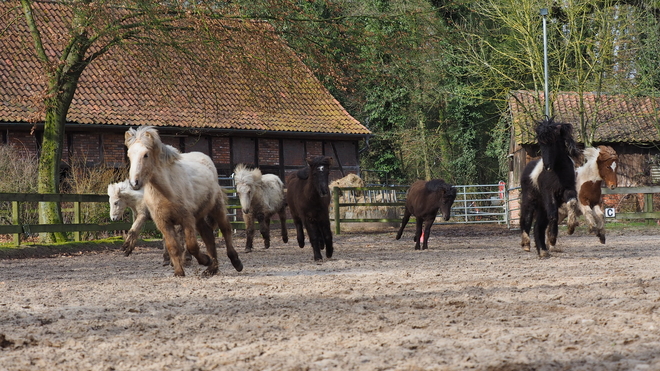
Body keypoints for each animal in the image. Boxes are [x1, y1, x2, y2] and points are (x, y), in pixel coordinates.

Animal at [124, 126, 242, 278]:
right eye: (129, 155)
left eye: (146, 155)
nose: (134, 183)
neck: (166, 191)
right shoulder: (164, 223)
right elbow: (173, 247)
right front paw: (179, 272)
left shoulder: (187, 219)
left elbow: (192, 245)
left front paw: (205, 260)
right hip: (199, 217)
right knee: (208, 235)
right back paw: (212, 269)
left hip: (216, 208)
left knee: (226, 230)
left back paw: (235, 262)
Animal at [520, 117, 580, 258]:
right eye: (541, 144)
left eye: (553, 142)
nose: (547, 166)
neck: (558, 171)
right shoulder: (549, 193)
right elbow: (553, 214)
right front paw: (552, 238)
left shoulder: (567, 190)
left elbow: (572, 203)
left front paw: (571, 227)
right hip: (530, 200)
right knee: (526, 218)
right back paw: (526, 244)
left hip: (542, 206)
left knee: (538, 226)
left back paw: (543, 251)